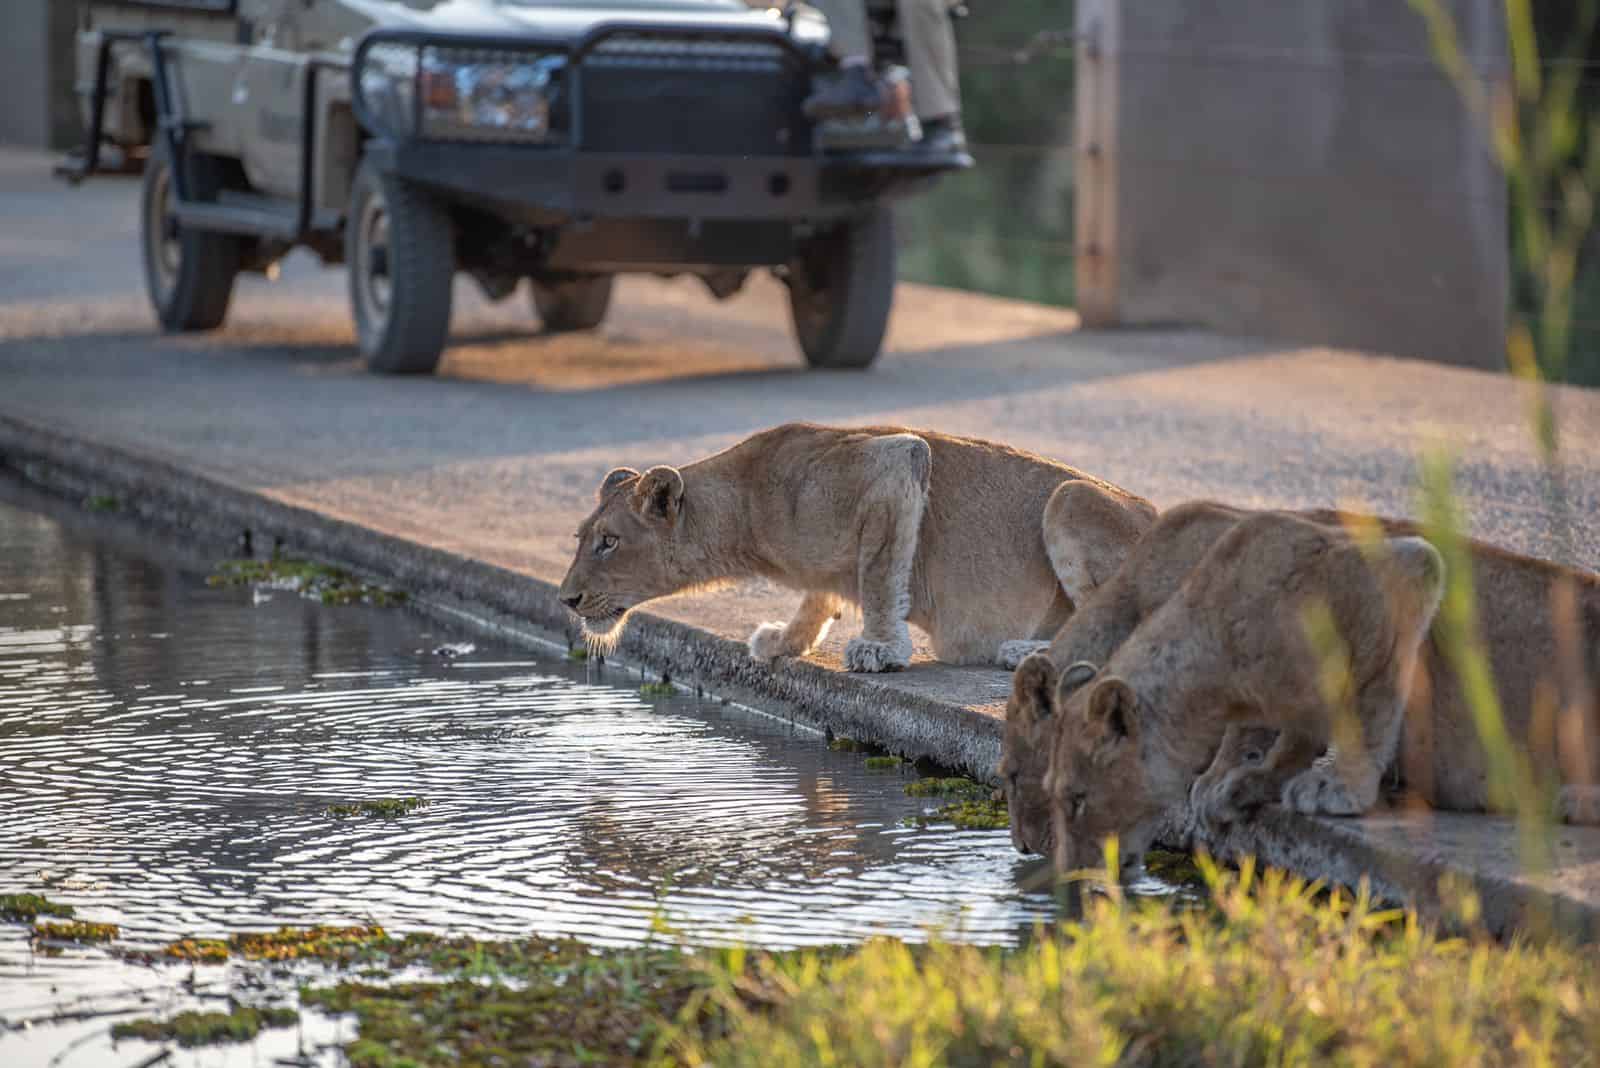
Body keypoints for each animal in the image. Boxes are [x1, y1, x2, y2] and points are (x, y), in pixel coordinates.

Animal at [555, 423, 1155, 673]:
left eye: (609, 542)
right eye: (583, 538)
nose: (566, 600)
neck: (744, 504)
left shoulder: (894, 464)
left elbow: (881, 574)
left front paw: (880, 650)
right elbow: (818, 597)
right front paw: (784, 642)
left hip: (1070, 497)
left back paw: (1027, 653)